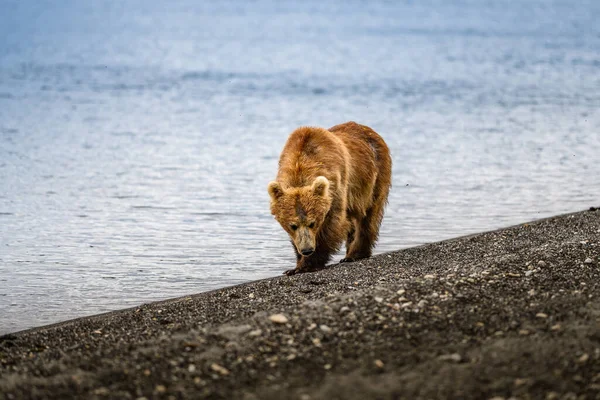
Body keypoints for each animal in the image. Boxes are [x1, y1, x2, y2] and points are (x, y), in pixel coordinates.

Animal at [268, 121, 392, 276]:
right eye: (293, 225)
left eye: (312, 223)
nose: (307, 250)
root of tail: (370, 130)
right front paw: (296, 264)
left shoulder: (336, 185)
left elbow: (332, 224)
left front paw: (307, 264)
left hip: (374, 177)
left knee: (368, 216)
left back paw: (354, 254)